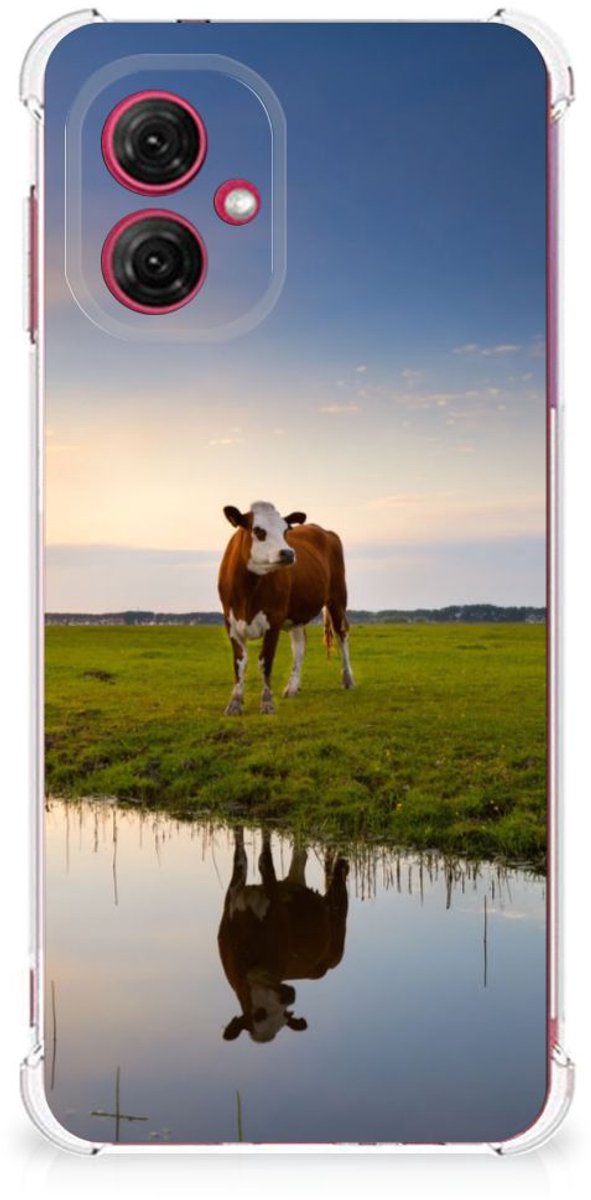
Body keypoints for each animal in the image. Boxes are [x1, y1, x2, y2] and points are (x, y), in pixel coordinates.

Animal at [218, 501, 354, 715]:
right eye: (258, 531)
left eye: (285, 531)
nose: (289, 553)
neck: (247, 592)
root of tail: (324, 530)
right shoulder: (230, 622)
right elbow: (239, 663)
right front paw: (235, 703)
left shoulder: (274, 620)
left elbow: (265, 661)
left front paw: (267, 703)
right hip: (297, 614)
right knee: (299, 645)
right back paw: (292, 687)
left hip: (337, 597)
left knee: (342, 636)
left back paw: (347, 679)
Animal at [218, 827, 349, 1043]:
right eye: (259, 1014)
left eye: (285, 1016)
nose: (289, 995)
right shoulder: (233, 895)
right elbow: (241, 856)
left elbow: (264, 860)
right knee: (301, 856)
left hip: (338, 929)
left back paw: (342, 865)